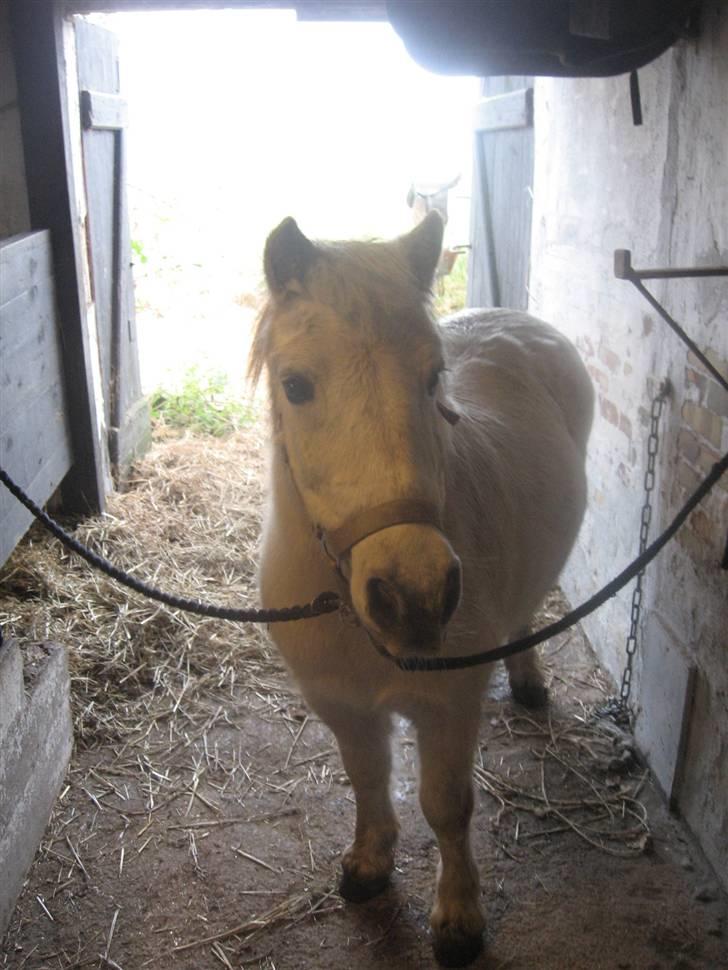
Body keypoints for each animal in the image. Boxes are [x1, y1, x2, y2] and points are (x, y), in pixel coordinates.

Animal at [247, 210, 596, 960]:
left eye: (434, 377)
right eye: (296, 385)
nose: (415, 596)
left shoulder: (448, 706)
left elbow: (446, 806)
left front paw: (459, 918)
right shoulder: (342, 704)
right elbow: (368, 777)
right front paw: (369, 864)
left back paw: (528, 680)